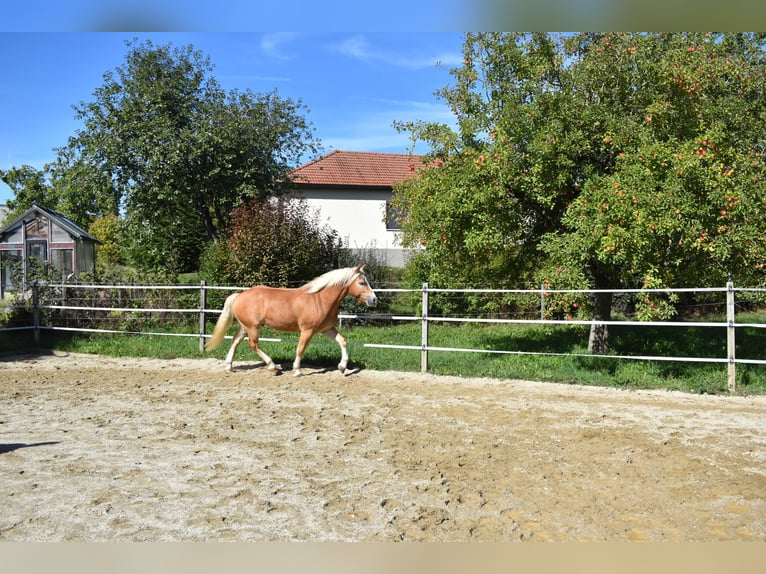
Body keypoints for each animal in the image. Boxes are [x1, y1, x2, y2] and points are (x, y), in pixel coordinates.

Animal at [205, 265, 377, 377]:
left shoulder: (326, 329)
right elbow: (300, 349)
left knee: (235, 341)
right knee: (252, 345)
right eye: (362, 282)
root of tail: (239, 296)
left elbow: (342, 341)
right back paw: (273, 367)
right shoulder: (307, 331)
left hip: (245, 326)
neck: (319, 299)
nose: (374, 299)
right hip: (253, 327)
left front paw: (342, 367)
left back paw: (229, 367)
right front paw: (297, 371)